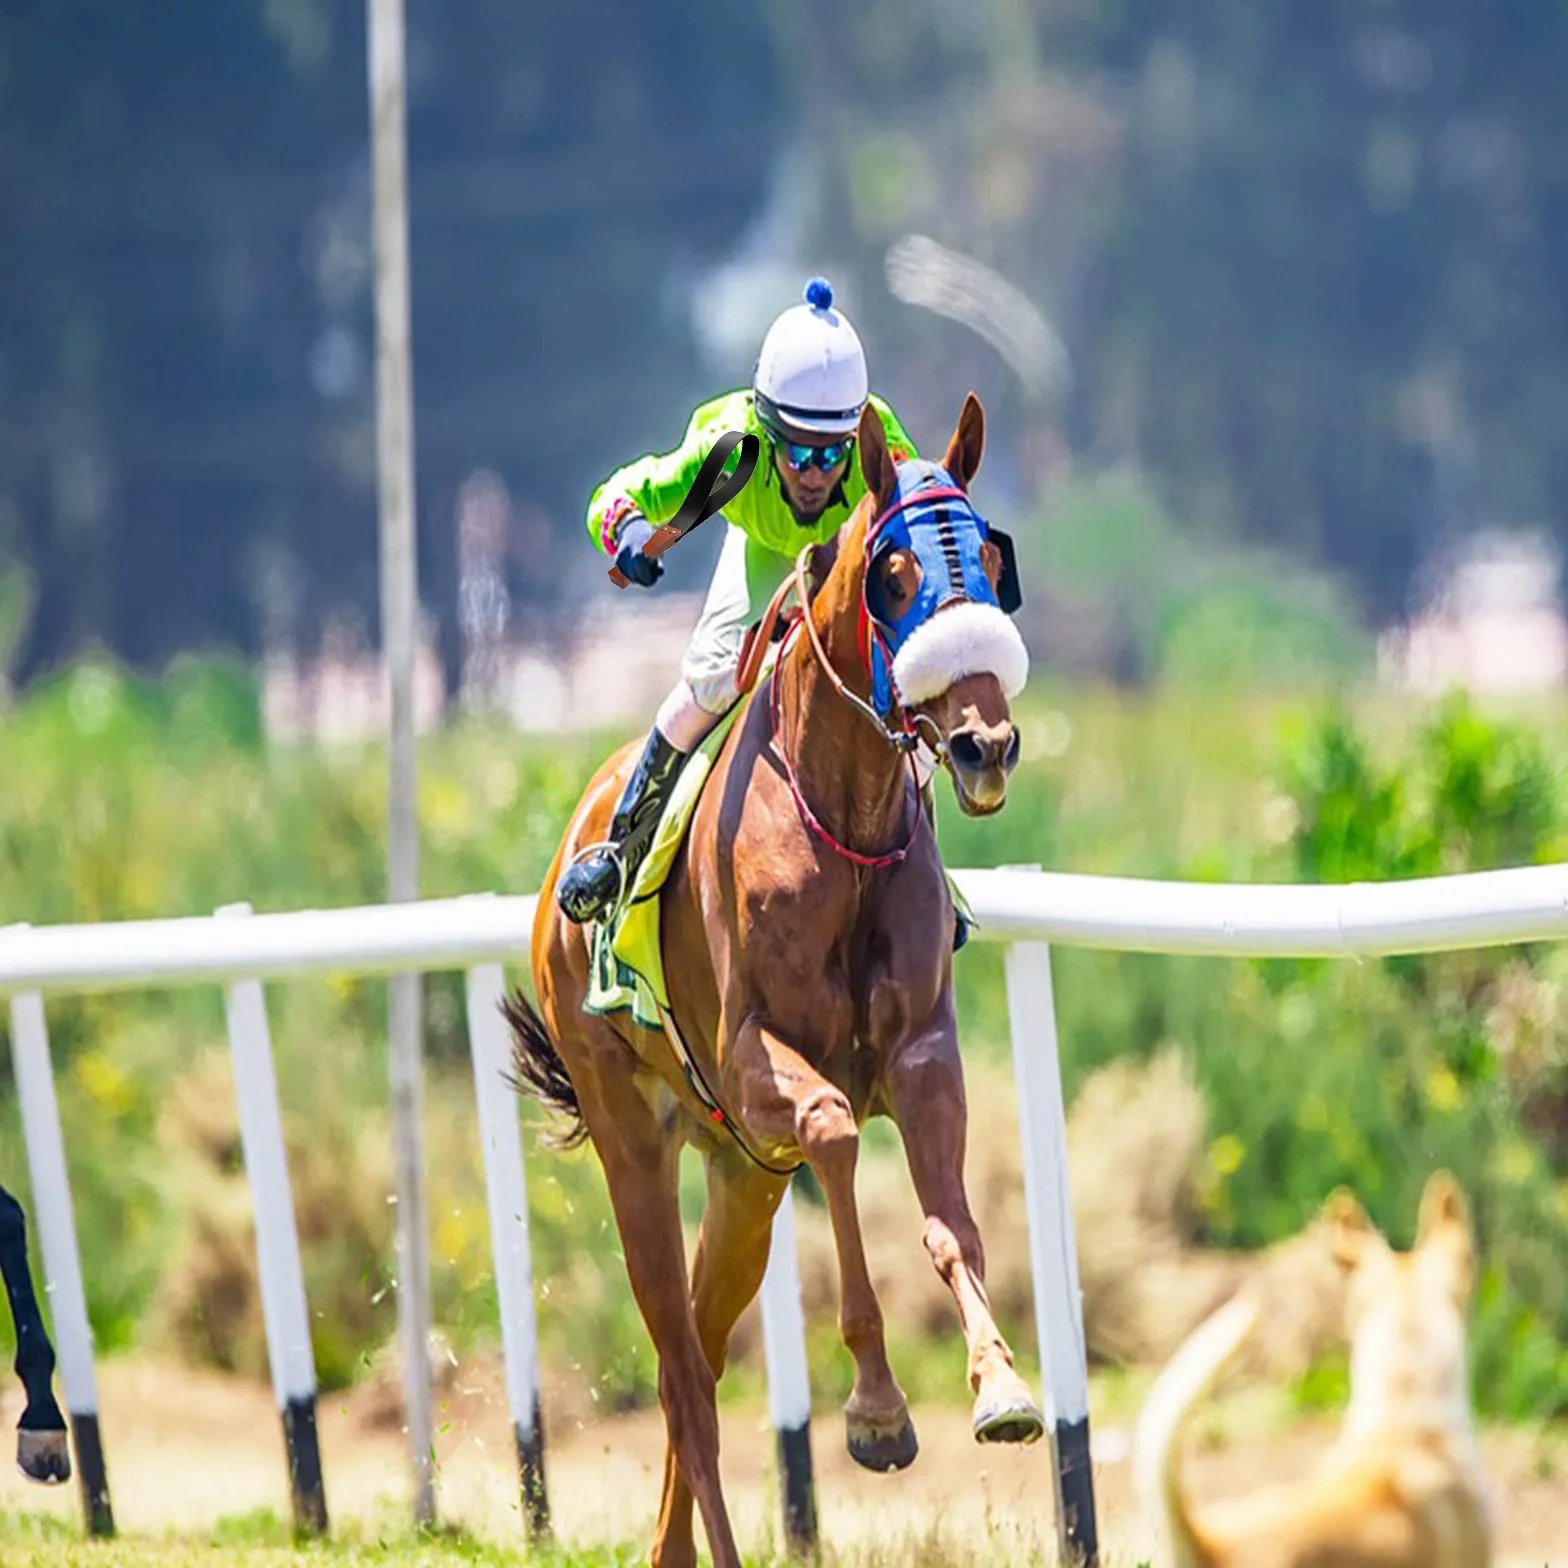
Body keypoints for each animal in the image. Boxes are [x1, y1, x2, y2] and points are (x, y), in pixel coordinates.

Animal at [506, 391, 1042, 1568]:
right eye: (896, 574)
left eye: (989, 558)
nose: (983, 744)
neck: (844, 822)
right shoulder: (758, 1061)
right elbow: (837, 1133)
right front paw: (878, 1410)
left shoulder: (922, 1054)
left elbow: (951, 1222)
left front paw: (1000, 1386)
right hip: (635, 1142)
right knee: (682, 1376)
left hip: (741, 1176)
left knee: (698, 1361)